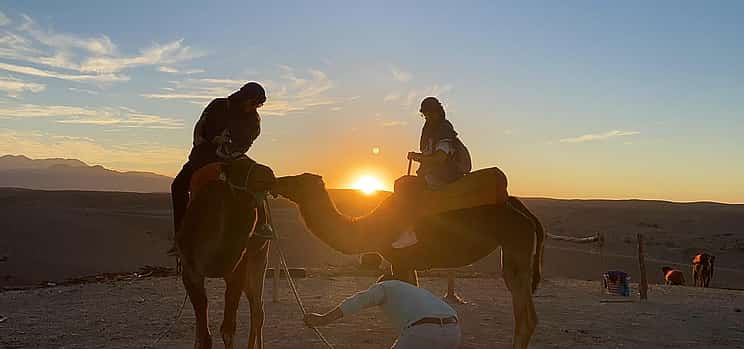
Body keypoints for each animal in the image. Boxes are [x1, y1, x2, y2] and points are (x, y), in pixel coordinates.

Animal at [178, 159, 276, 346]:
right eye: (240, 168)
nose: (269, 174)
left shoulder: (237, 269)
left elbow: (228, 330)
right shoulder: (190, 272)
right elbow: (204, 334)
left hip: (259, 256)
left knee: (257, 309)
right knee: (254, 304)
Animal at [274, 171, 548, 348]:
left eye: (297, 179)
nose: (275, 180)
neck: (372, 226)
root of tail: (523, 212)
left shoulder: (401, 260)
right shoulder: (407, 262)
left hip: (516, 245)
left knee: (525, 314)